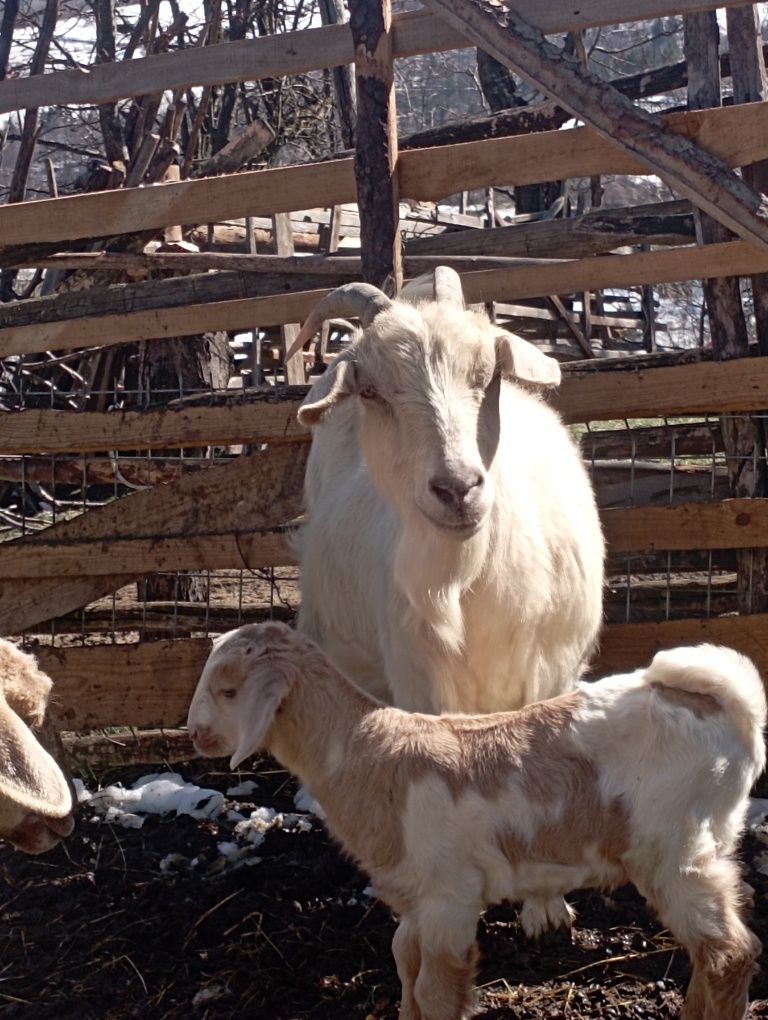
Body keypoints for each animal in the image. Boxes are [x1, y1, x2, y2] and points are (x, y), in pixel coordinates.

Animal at [187, 620, 766, 1020]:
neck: (366, 750)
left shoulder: (450, 895)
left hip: (676, 849)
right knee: (716, 948)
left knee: (731, 954)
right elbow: (404, 961)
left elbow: (436, 988)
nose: (195, 735)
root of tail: (728, 704)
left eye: (229, 690)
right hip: (708, 843)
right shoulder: (416, 896)